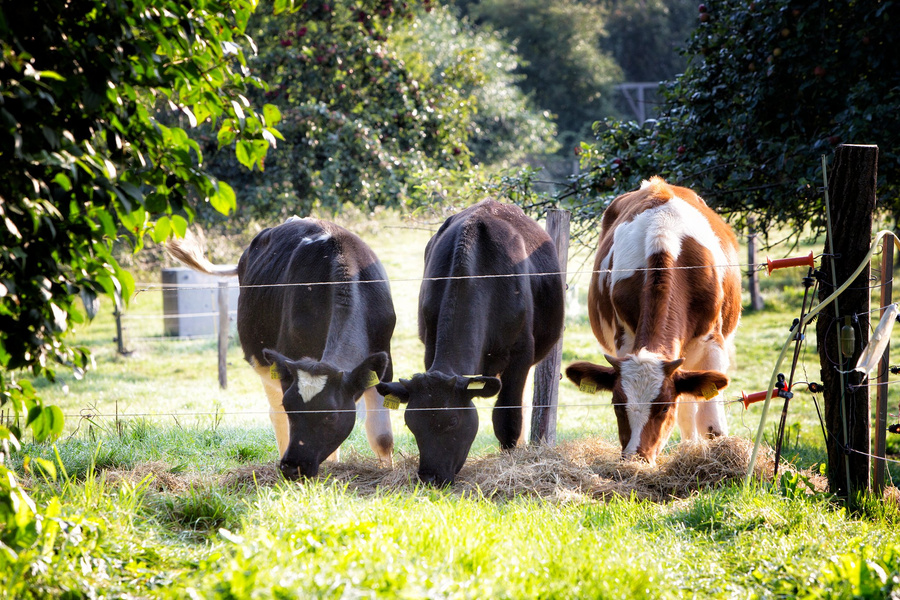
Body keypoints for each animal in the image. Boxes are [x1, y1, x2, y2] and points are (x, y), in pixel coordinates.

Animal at [166, 217, 396, 479]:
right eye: (291, 408)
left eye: (330, 415)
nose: (292, 466)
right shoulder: (288, 364)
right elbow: (283, 416)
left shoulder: (383, 361)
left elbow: (382, 437)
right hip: (265, 365)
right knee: (274, 415)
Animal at [376, 200, 564, 485]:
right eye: (410, 422)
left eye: (453, 420)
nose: (430, 477)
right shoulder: (430, 346)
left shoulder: (521, 354)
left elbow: (507, 415)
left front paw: (508, 459)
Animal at [565, 176, 741, 464]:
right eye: (617, 404)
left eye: (664, 407)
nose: (636, 457)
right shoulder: (625, 340)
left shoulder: (712, 345)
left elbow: (711, 423)